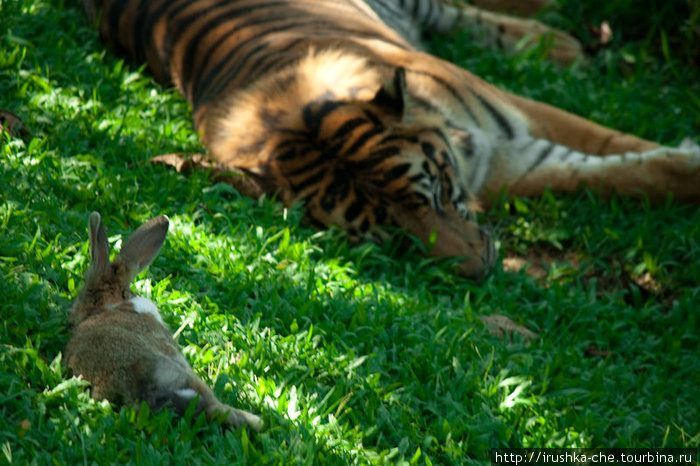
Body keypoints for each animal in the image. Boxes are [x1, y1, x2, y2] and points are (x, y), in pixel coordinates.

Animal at [80, 0, 700, 276]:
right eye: (393, 236)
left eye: (435, 192)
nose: (482, 270)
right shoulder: (519, 165)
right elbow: (621, 178)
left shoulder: (520, 122)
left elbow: (615, 144)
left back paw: (561, 45)